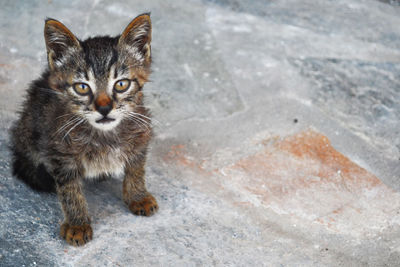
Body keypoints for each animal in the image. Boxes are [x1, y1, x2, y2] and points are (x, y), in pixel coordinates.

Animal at [10, 13, 157, 247]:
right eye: (82, 87)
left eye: (121, 84)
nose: (104, 108)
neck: (104, 135)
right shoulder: (60, 152)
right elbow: (70, 191)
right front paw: (77, 224)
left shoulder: (141, 130)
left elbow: (136, 167)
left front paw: (138, 196)